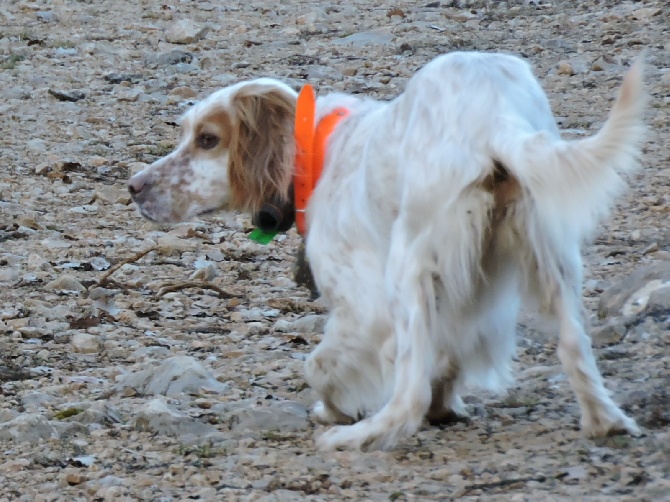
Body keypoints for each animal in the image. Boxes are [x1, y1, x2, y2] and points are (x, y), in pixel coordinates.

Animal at [129, 51, 648, 452]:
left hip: (407, 264)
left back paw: (363, 435)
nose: (133, 187)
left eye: (208, 140)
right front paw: (445, 402)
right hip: (551, 253)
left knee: (408, 392)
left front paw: (335, 410)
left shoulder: (364, 304)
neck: (318, 152)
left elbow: (319, 363)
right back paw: (605, 421)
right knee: (574, 346)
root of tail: (493, 118)